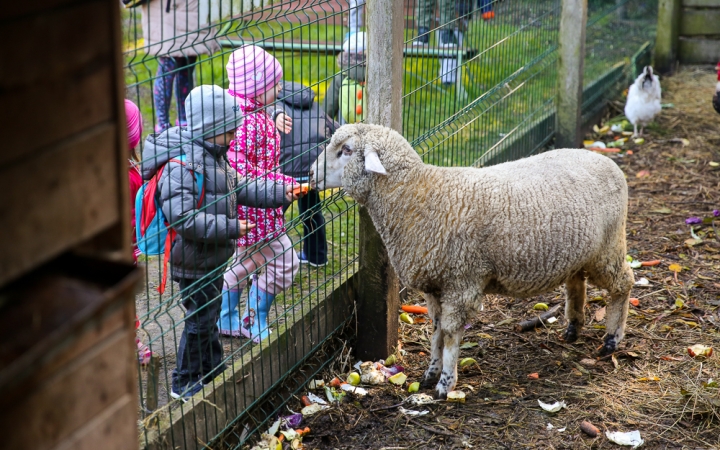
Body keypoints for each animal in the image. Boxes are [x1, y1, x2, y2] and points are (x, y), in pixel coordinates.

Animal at [306, 122, 632, 398]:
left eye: (347, 150)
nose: (309, 174)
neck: (414, 195)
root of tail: (605, 160)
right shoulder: (435, 285)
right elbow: (436, 332)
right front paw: (430, 373)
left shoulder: (461, 281)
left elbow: (450, 334)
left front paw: (445, 383)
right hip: (579, 251)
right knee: (576, 282)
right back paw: (573, 327)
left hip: (609, 246)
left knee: (623, 285)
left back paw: (611, 340)